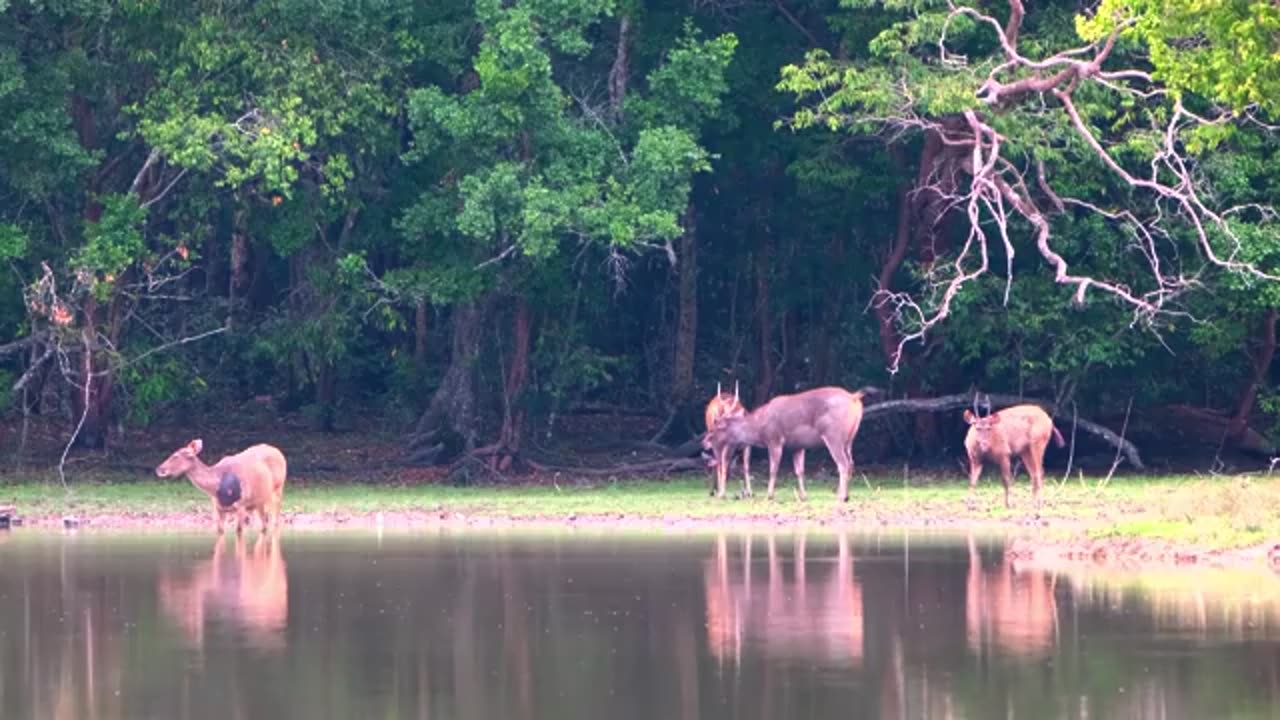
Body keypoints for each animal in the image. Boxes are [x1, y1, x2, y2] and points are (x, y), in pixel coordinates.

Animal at [154, 438, 288, 532]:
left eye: (175, 455)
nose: (159, 469)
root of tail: (279, 452)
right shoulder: (217, 508)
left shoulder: (241, 504)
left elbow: (239, 531)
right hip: (257, 503)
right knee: (262, 525)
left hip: (278, 489)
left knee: (275, 520)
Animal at [701, 384, 870, 502]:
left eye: (714, 429)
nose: (703, 443)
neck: (759, 428)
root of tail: (854, 398)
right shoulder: (798, 446)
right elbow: (799, 471)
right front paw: (803, 496)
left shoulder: (774, 439)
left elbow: (773, 469)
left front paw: (769, 495)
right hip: (849, 440)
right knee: (851, 463)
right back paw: (846, 495)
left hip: (834, 435)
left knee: (843, 464)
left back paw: (841, 497)